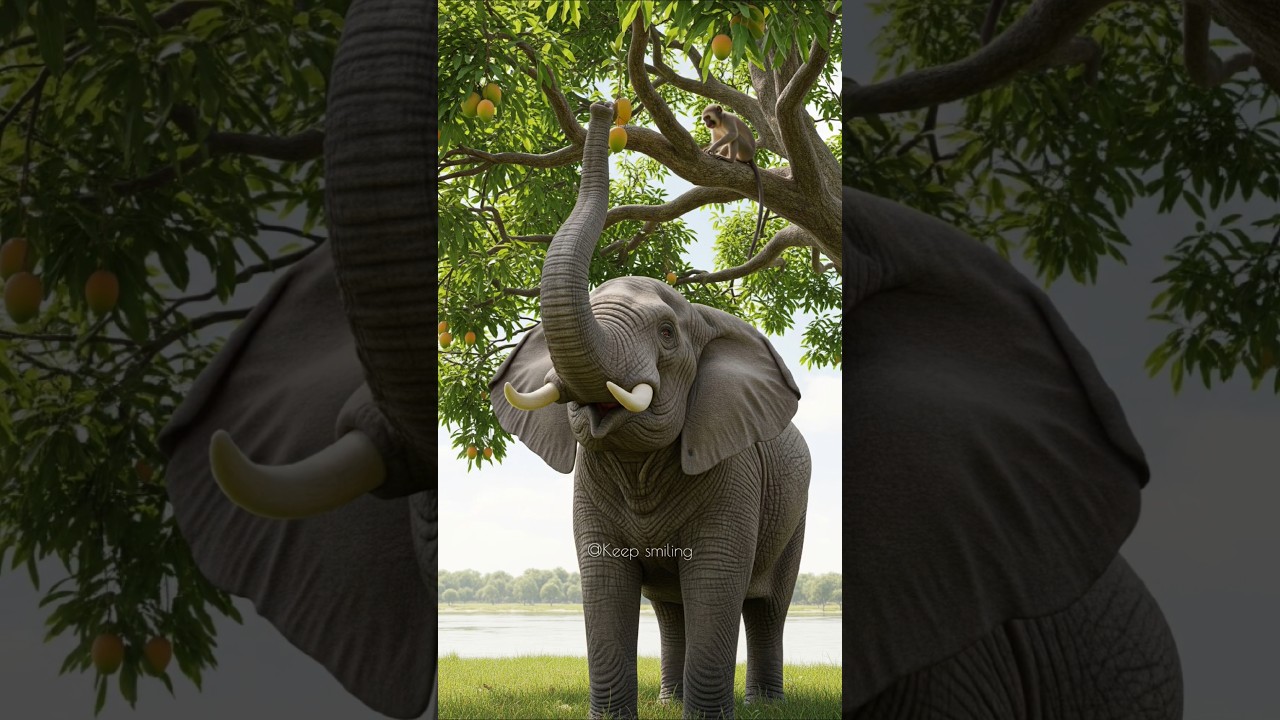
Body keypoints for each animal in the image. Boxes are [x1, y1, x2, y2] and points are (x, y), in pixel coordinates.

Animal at [701, 104, 766, 259]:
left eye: (708, 117)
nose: (707, 124)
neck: (720, 123)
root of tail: (751, 156)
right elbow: (718, 140)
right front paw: (710, 149)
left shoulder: (728, 120)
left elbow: (731, 135)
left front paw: (711, 149)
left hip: (745, 150)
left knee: (735, 138)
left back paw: (729, 160)